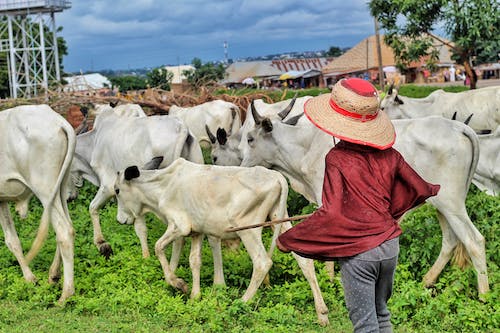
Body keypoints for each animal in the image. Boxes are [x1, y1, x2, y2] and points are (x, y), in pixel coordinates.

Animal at [0, 105, 76, 302]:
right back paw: (54, 275)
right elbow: (12, 240)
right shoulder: (1, 200)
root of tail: (59, 122)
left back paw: (65, 295)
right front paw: (30, 278)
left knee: (63, 231)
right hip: (61, 188)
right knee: (68, 226)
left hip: (45, 189)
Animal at [70, 106, 203, 256]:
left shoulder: (109, 186)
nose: (69, 198)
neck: (93, 143)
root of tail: (182, 127)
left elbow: (92, 207)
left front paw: (101, 243)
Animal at [114, 158, 330, 324]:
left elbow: (158, 247)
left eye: (116, 190)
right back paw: (322, 313)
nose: (120, 220)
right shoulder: (197, 231)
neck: (163, 187)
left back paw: (242, 302)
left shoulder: (179, 226)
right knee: (305, 261)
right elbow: (194, 261)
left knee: (262, 262)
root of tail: (278, 178)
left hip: (248, 228)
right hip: (281, 218)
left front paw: (178, 284)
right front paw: (195, 295)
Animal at [240, 107, 490, 296]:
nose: (241, 166)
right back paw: (427, 281)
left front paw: (331, 281)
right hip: (442, 205)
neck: (304, 147)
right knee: (450, 240)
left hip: (452, 204)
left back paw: (484, 296)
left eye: (250, 139)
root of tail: (460, 127)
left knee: (474, 241)